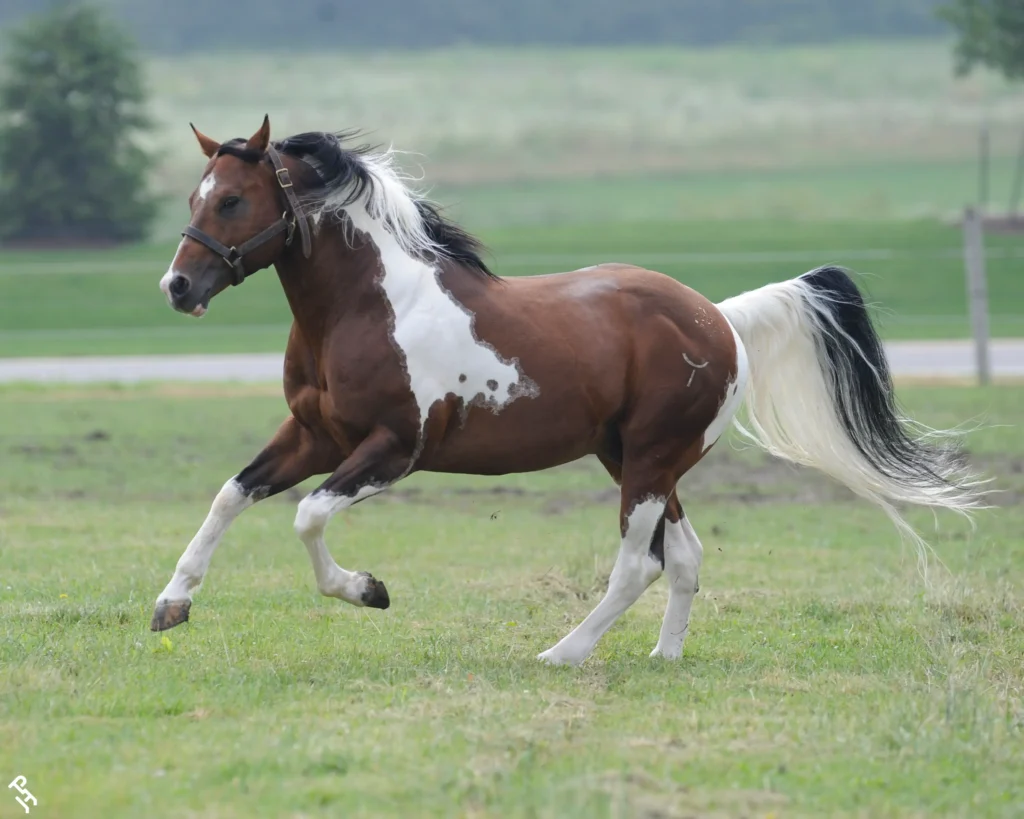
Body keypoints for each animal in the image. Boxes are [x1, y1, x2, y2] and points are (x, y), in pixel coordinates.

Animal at [150, 115, 984, 666]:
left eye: (232, 200)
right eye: (195, 197)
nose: (177, 286)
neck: (363, 308)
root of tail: (721, 317)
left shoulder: (392, 448)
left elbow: (307, 516)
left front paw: (369, 589)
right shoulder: (313, 434)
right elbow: (231, 494)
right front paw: (172, 602)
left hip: (648, 460)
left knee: (638, 563)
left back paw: (563, 652)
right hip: (637, 460)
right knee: (684, 555)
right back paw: (662, 657)